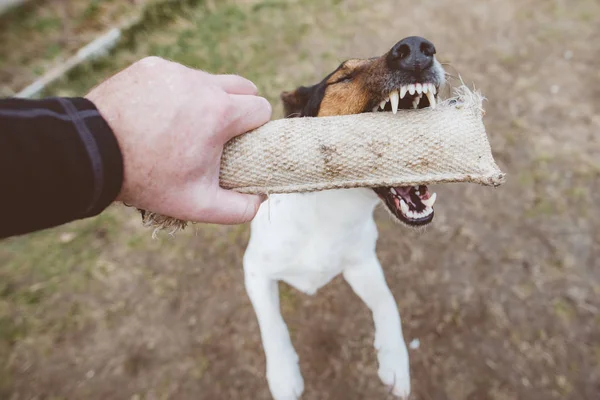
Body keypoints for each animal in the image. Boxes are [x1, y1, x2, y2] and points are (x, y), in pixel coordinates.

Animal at [243, 36, 446, 398]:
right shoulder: (254, 271)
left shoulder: (361, 264)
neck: (333, 209)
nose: (416, 48)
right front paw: (283, 376)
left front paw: (395, 359)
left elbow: (388, 302)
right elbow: (273, 324)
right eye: (343, 78)